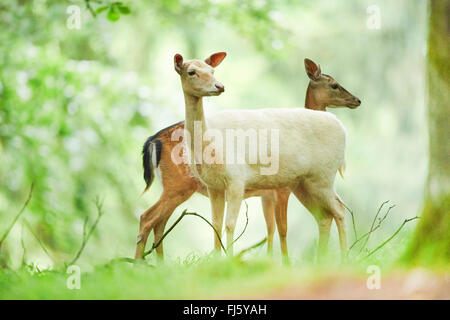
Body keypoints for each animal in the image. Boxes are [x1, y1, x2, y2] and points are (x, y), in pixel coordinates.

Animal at [134, 52, 362, 262]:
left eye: (212, 71)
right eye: (191, 71)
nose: (219, 86)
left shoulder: (238, 180)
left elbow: (236, 225)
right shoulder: (216, 186)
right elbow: (218, 224)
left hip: (321, 176)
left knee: (338, 210)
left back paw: (343, 258)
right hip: (304, 183)